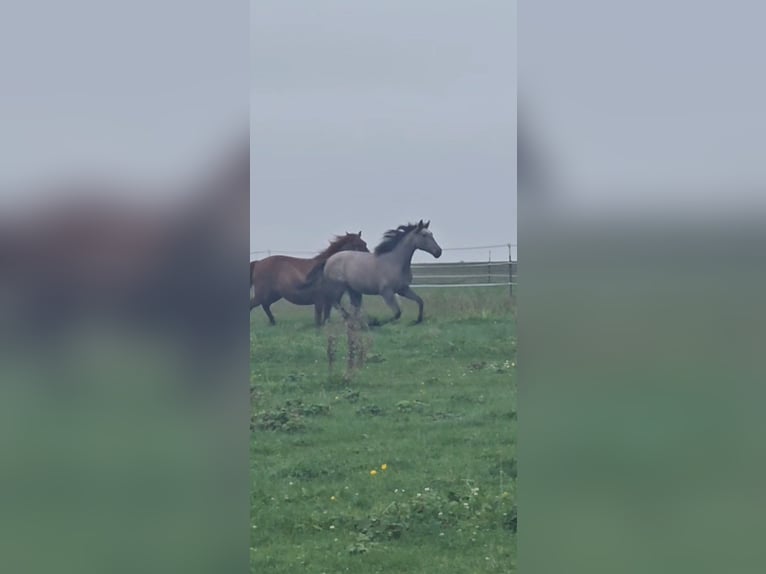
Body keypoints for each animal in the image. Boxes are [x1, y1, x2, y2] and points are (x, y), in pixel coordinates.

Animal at [302, 220, 440, 324]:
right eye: (424, 235)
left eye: (432, 234)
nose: (438, 252)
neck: (394, 262)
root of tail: (329, 259)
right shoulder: (386, 292)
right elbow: (397, 313)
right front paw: (377, 323)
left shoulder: (403, 289)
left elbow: (420, 301)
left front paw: (418, 320)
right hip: (338, 288)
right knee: (334, 302)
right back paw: (350, 319)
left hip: (352, 290)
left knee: (348, 306)